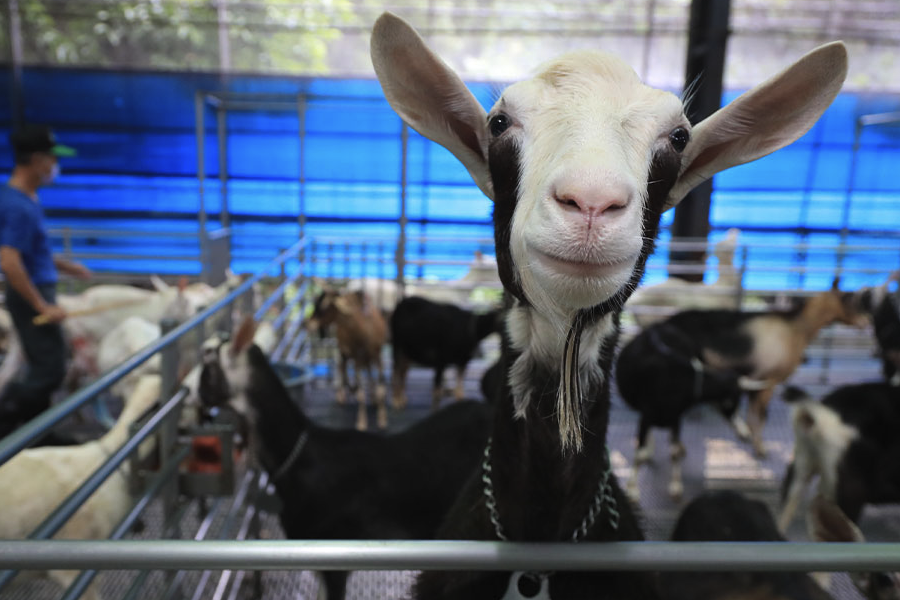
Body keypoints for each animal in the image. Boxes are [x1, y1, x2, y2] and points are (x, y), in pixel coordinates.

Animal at [306, 288, 386, 428]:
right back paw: (343, 394)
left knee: (365, 371)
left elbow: (380, 388)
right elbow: (360, 392)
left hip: (365, 357)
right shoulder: (357, 358)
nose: (308, 323)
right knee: (342, 368)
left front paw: (381, 418)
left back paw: (370, 395)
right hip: (345, 352)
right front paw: (361, 421)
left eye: (325, 307)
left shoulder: (377, 355)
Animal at [616, 322, 764, 500]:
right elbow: (638, 454)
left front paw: (675, 486)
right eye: (731, 403)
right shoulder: (647, 416)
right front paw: (632, 489)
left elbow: (673, 452)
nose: (746, 435)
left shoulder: (675, 418)